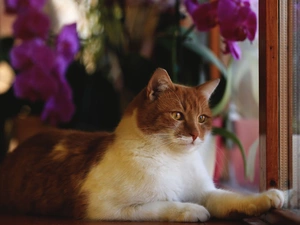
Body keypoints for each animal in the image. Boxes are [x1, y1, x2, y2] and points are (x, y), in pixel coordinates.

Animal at [0, 68, 284, 221]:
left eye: (202, 118)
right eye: (177, 115)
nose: (195, 135)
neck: (174, 160)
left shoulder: (206, 192)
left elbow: (230, 198)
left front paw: (267, 197)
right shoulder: (106, 208)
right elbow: (163, 205)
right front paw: (191, 209)